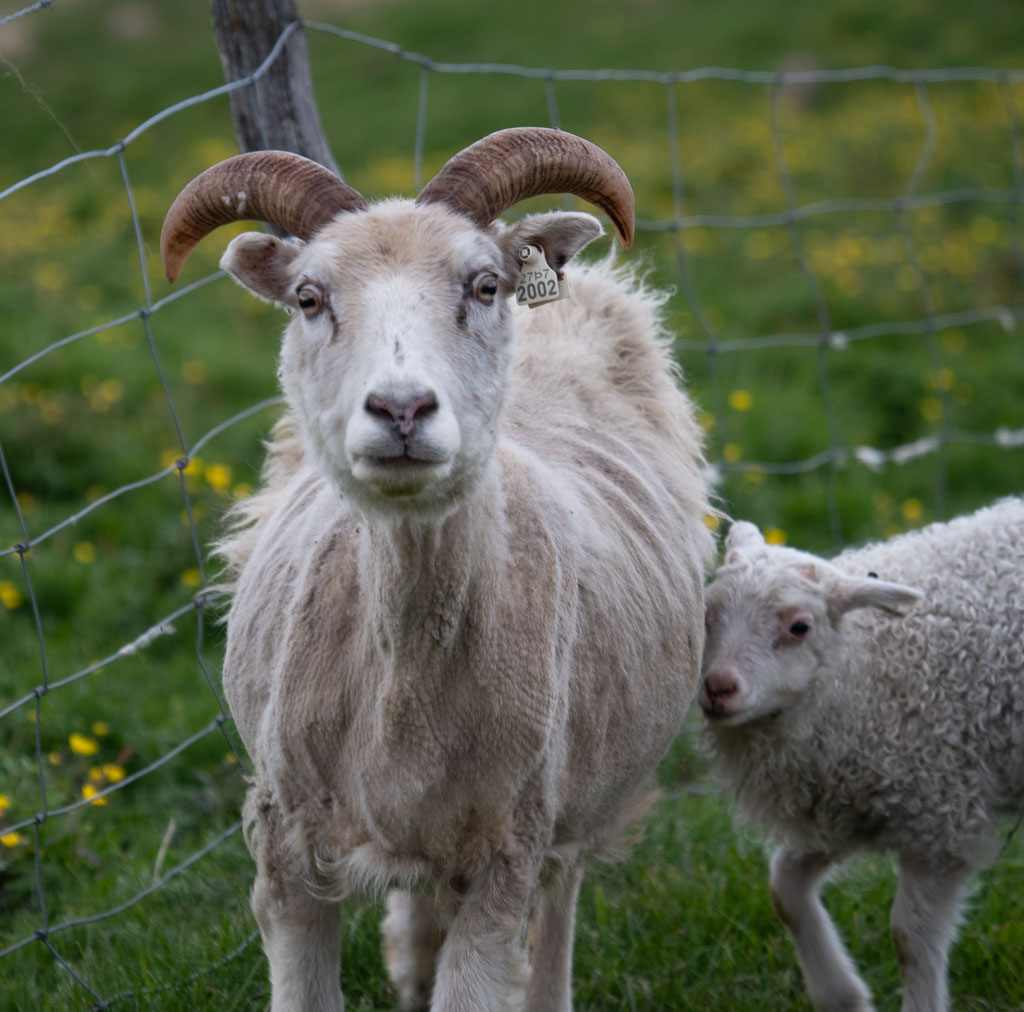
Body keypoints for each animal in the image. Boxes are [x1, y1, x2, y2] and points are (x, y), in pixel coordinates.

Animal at [161, 128, 720, 1012]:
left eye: (483, 285)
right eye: (309, 298)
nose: (401, 410)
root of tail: (579, 286)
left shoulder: (505, 854)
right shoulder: (286, 848)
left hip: (577, 800)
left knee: (559, 907)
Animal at [700, 499, 1024, 1012]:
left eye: (799, 627)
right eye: (706, 615)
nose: (718, 688)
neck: (867, 664)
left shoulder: (940, 817)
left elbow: (909, 937)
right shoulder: (841, 801)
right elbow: (784, 888)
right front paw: (843, 994)